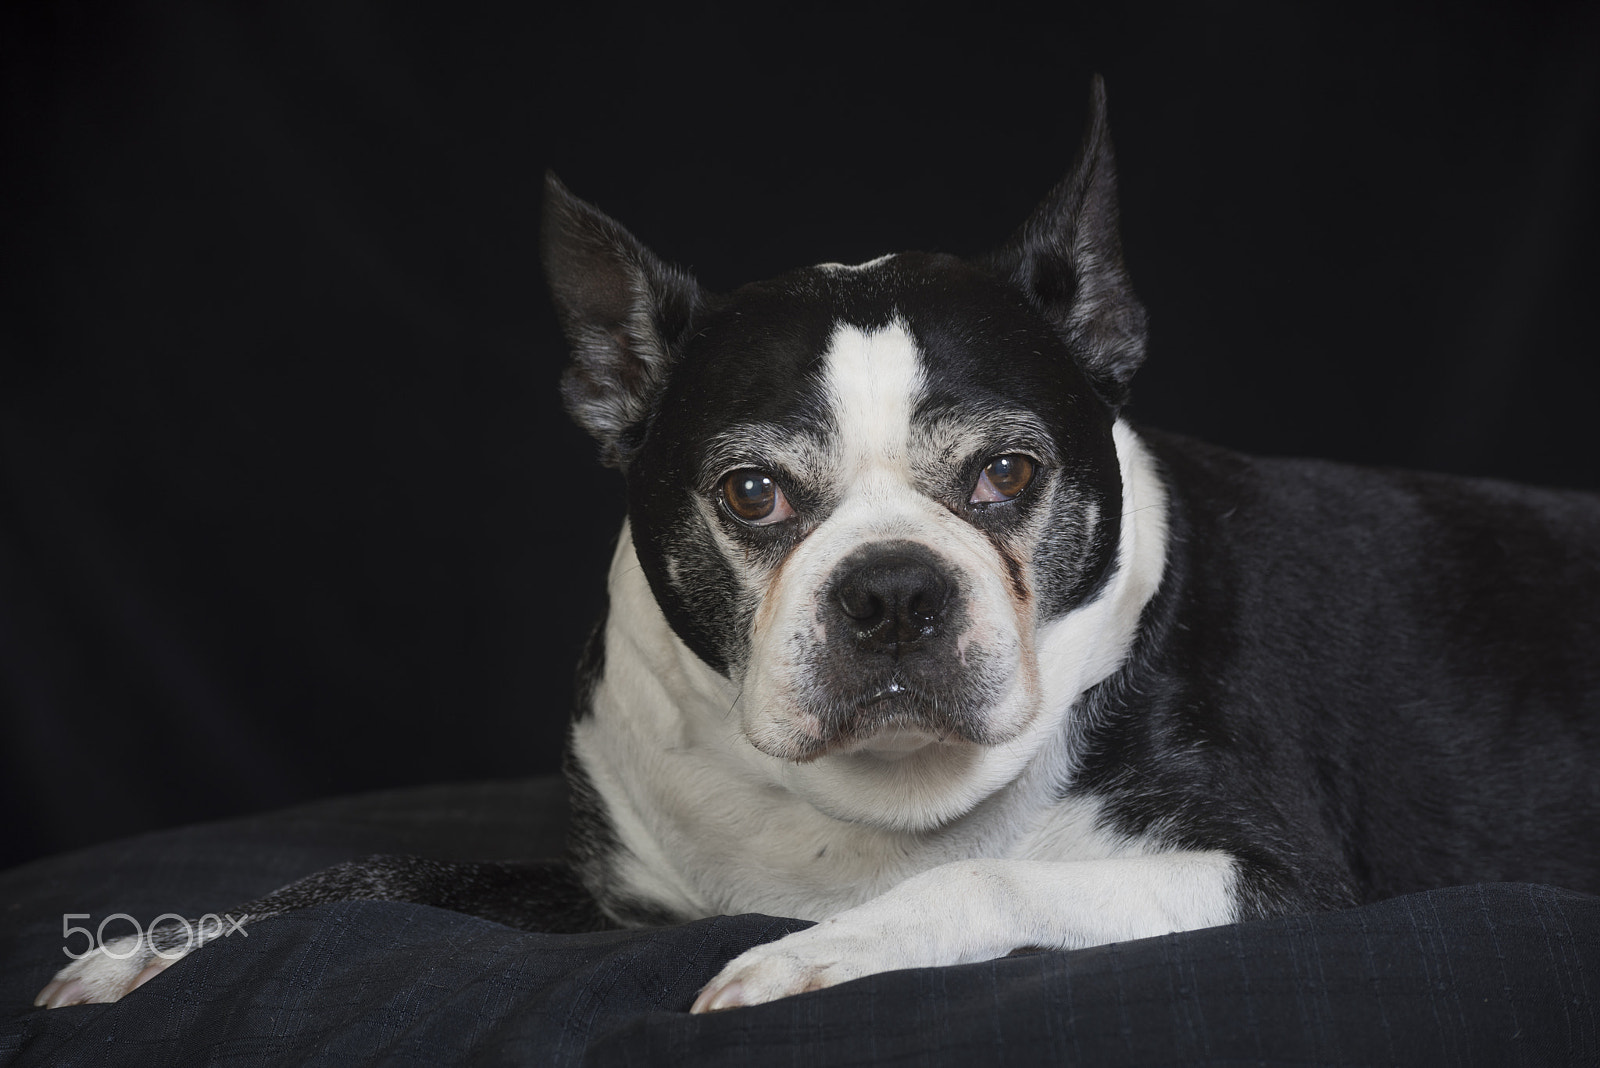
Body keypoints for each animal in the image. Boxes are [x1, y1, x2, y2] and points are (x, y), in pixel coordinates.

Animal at [37, 79, 1600, 1016]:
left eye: (1009, 474)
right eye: (750, 496)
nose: (892, 591)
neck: (858, 810)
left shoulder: (1268, 880)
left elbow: (985, 877)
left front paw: (823, 950)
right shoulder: (618, 896)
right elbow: (380, 880)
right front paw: (158, 952)